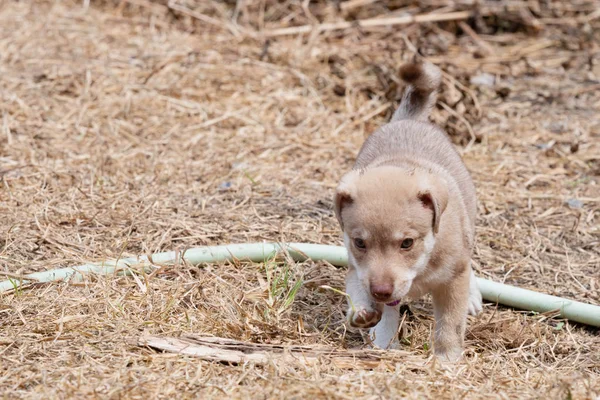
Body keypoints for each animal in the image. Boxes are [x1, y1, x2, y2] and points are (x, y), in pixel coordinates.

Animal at [332, 60, 482, 362]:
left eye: (407, 243)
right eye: (359, 243)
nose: (379, 291)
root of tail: (408, 119)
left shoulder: (453, 281)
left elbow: (450, 324)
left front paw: (447, 360)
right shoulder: (361, 272)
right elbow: (375, 302)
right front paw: (379, 335)